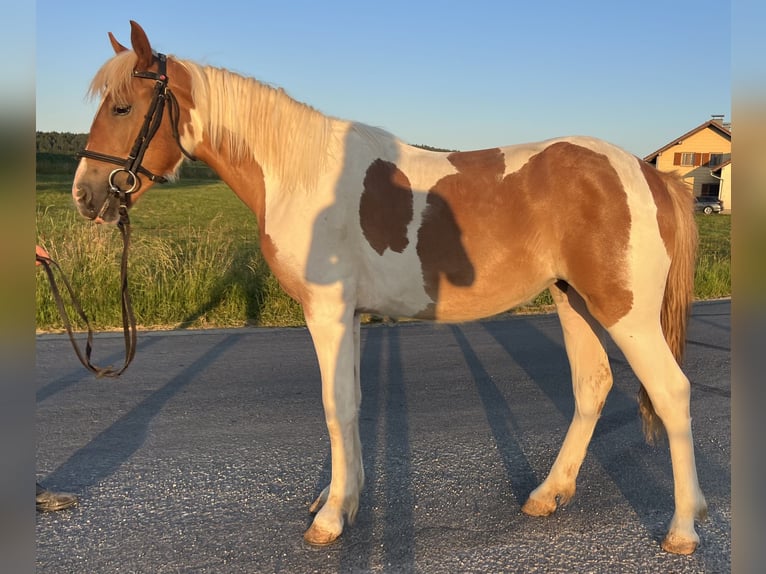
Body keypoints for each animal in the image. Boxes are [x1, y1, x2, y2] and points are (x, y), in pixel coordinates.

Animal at [72, 21, 707, 554]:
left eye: (123, 107)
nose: (85, 194)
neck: (302, 175)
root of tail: (649, 172)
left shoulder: (327, 312)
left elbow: (334, 406)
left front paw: (329, 520)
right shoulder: (350, 315)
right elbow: (351, 403)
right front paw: (343, 500)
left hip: (625, 311)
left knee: (671, 391)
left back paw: (682, 528)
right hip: (572, 299)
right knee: (592, 386)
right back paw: (548, 495)